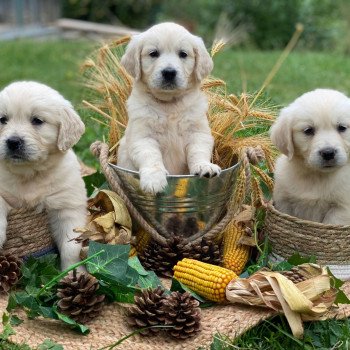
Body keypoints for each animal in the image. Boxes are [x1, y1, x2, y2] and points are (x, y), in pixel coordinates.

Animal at [0, 80, 87, 270]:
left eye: (37, 121)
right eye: (2, 119)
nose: (13, 142)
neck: (29, 173)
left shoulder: (68, 206)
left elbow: (72, 248)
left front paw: (74, 273)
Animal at [117, 22, 221, 194]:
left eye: (183, 54)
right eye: (153, 53)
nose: (169, 72)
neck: (169, 105)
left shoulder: (197, 133)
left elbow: (198, 151)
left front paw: (204, 166)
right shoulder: (143, 137)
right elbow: (151, 156)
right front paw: (154, 179)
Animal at [272, 88, 350, 224]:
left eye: (342, 127)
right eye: (308, 130)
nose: (328, 152)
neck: (316, 176)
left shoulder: (341, 208)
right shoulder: (284, 202)